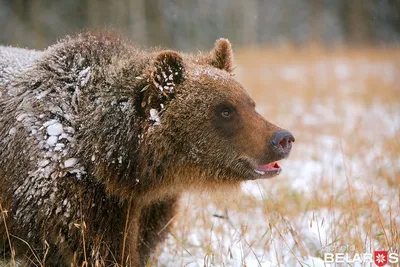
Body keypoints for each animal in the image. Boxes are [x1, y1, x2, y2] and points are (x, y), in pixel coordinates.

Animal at [0, 31, 294, 267]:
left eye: (249, 103)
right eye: (225, 110)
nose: (282, 138)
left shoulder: (148, 207)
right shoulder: (62, 199)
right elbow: (87, 249)